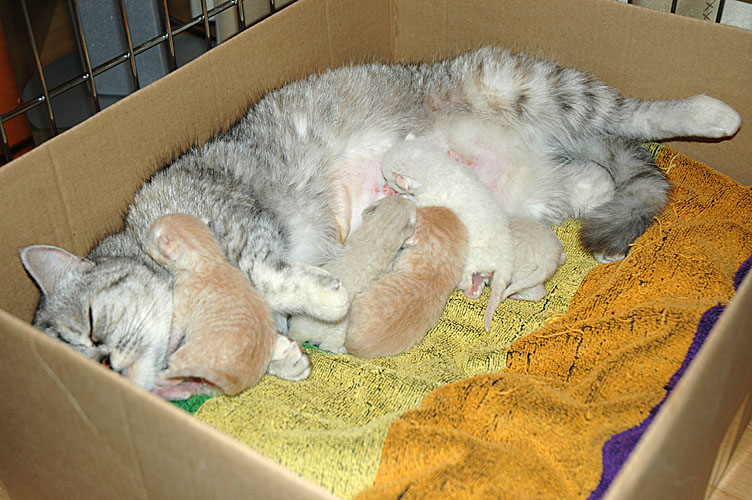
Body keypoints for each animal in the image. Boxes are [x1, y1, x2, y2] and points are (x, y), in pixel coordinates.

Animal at [144, 213, 310, 400]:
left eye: (149, 238)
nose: (144, 245)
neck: (208, 259)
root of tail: (235, 380)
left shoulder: (181, 303)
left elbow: (174, 333)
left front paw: (167, 352)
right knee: (187, 389)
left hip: (185, 358)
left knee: (174, 376)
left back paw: (158, 378)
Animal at [288, 196, 417, 353]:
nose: (407, 197)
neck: (381, 226)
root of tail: (302, 333)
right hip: (338, 327)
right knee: (328, 345)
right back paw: (340, 350)